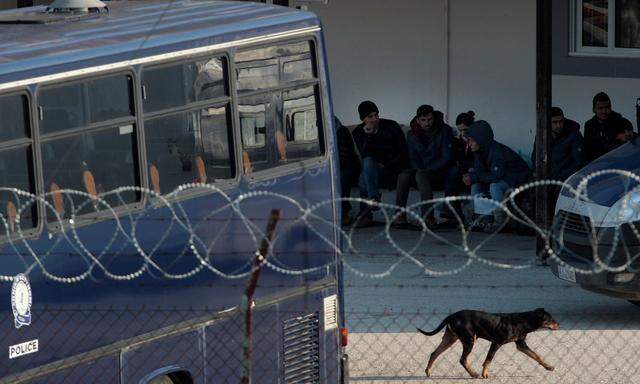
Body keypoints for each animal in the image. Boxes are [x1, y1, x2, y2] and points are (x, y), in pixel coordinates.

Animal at [418, 308, 556, 380]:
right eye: (551, 320)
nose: (558, 325)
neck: (523, 321)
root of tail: (452, 316)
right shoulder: (496, 343)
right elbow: (488, 359)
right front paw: (484, 374)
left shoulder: (521, 345)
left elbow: (536, 356)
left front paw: (549, 367)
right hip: (469, 340)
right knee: (462, 359)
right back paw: (473, 374)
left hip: (450, 338)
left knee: (434, 353)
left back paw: (428, 371)